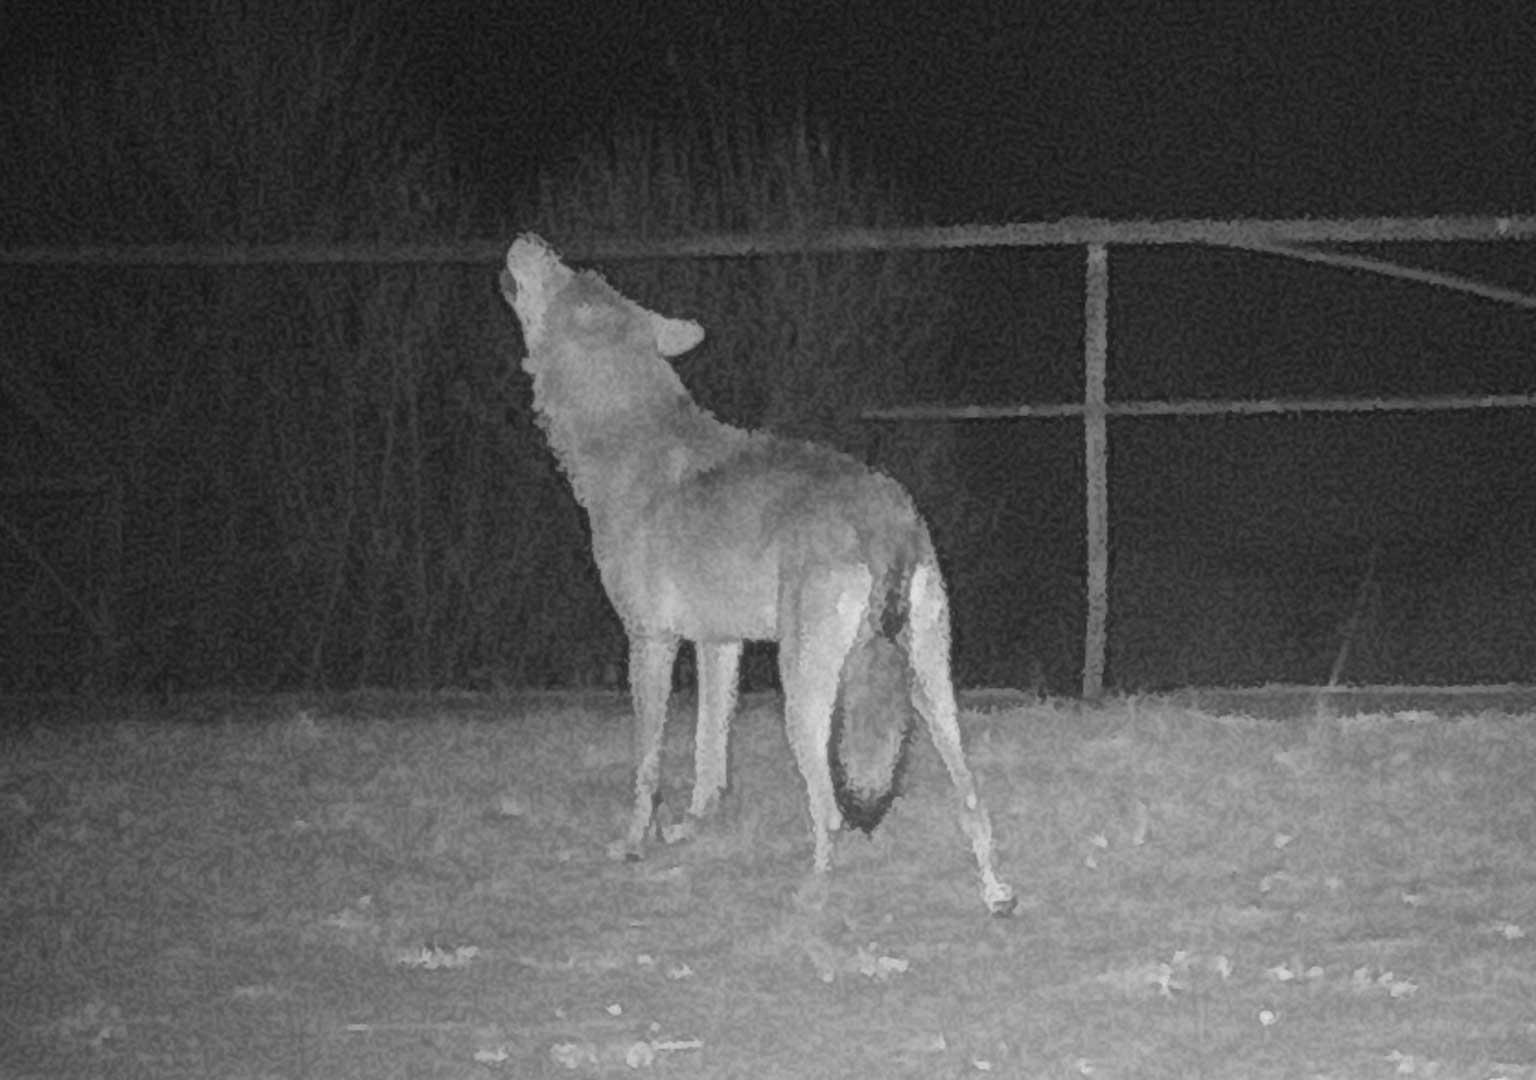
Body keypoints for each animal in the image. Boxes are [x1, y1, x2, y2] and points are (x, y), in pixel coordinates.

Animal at [497, 235, 1013, 909]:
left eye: (559, 271)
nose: (530, 239)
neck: (625, 439)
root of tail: (884, 511)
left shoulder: (651, 641)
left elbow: (648, 763)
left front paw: (634, 844)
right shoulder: (720, 644)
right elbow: (709, 757)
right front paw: (691, 830)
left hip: (805, 690)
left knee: (831, 811)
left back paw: (811, 892)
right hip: (930, 686)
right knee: (972, 799)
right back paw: (995, 893)